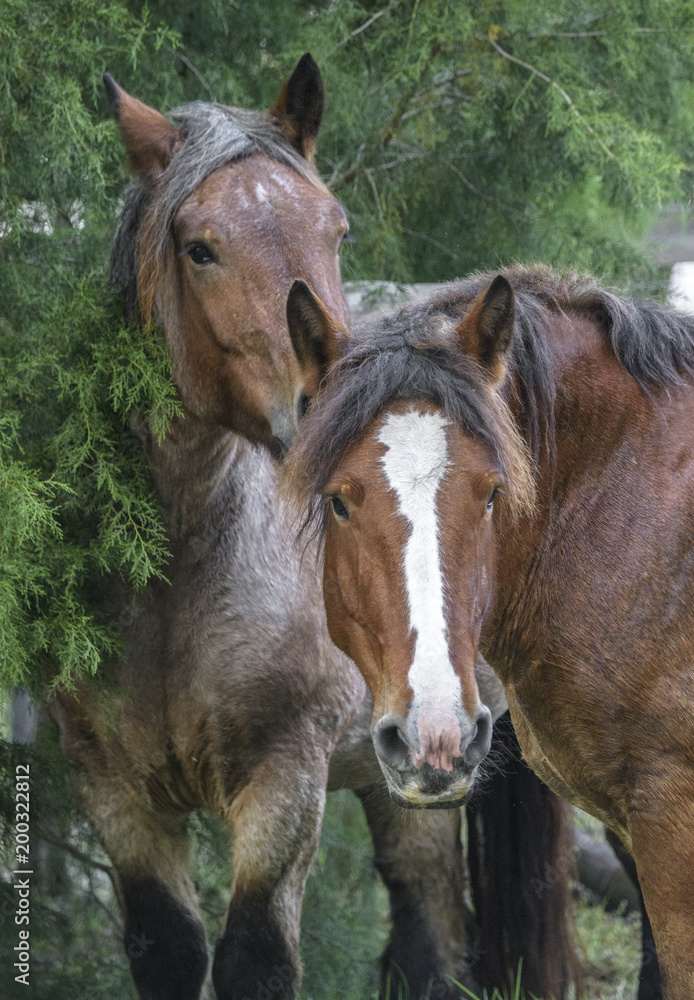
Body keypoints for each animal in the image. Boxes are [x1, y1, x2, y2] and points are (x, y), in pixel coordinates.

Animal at [50, 59, 579, 1000]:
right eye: (201, 247)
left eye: (335, 230)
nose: (334, 405)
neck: (178, 576)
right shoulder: (113, 789)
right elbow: (168, 950)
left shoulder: (283, 780)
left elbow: (256, 959)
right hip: (415, 762)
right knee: (429, 929)